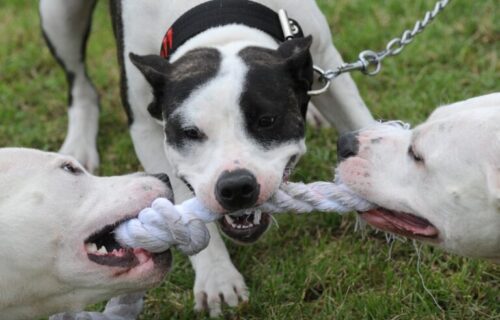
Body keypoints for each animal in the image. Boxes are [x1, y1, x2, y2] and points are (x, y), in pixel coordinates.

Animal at [39, 0, 374, 316]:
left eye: (267, 121)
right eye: (190, 132)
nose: (236, 186)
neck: (218, 18)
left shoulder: (328, 62)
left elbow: (360, 121)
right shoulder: (145, 127)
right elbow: (183, 209)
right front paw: (218, 277)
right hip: (58, 14)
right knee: (79, 84)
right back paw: (78, 145)